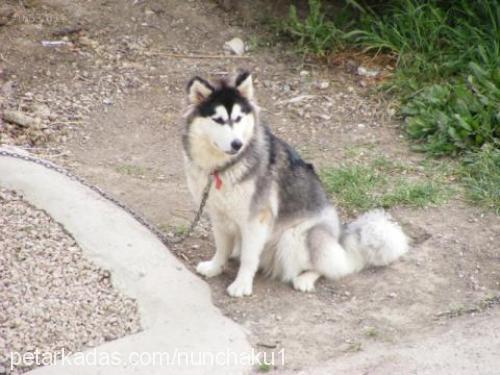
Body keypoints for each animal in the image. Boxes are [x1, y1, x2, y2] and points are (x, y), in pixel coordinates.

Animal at [182, 72, 408, 298]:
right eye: (219, 120)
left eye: (238, 119)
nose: (237, 144)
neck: (224, 167)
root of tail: (339, 236)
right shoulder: (218, 214)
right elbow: (221, 247)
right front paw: (215, 267)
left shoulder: (256, 220)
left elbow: (249, 257)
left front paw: (242, 285)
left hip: (296, 236)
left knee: (336, 267)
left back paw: (306, 279)